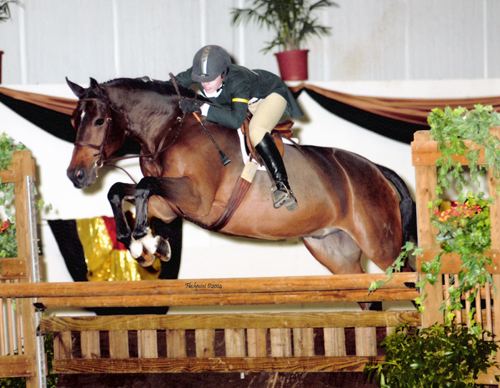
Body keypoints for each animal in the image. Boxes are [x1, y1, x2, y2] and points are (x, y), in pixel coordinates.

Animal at [65, 76, 418, 276]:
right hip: (335, 252)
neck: (169, 131)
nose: (76, 175)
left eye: (98, 121)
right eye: (73, 121)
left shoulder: (197, 200)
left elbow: (142, 185)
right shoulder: (170, 206)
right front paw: (143, 243)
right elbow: (119, 189)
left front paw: (143, 238)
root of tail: (376, 169)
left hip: (383, 246)